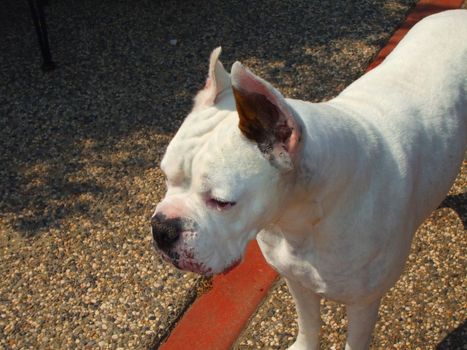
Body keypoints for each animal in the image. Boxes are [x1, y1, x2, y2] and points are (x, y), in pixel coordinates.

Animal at [154, 10, 467, 350]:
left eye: (222, 202)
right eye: (166, 176)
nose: (162, 228)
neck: (303, 218)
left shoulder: (363, 303)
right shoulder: (296, 277)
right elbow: (309, 323)